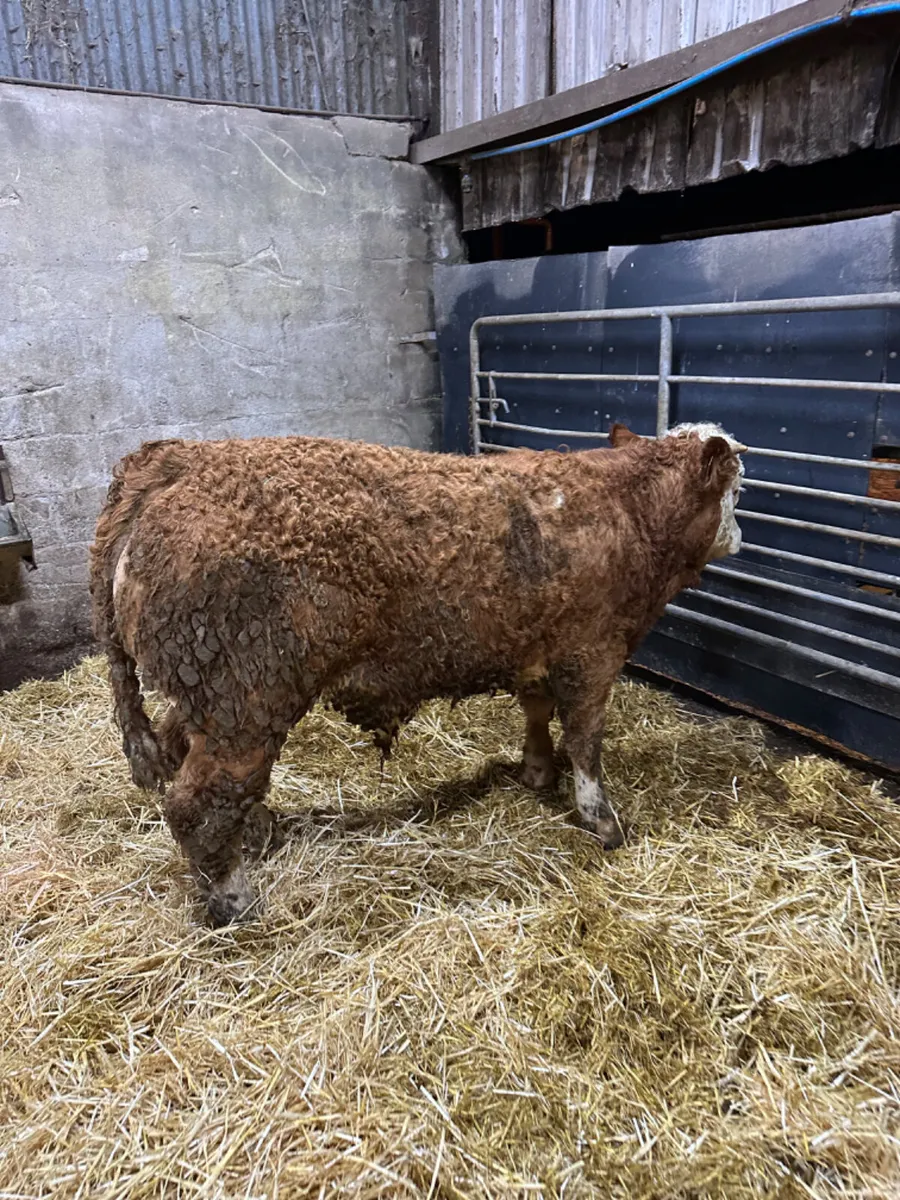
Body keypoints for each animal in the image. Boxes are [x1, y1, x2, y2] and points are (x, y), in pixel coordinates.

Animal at [89, 422, 745, 926]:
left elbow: (536, 711)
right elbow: (585, 739)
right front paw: (602, 821)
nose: (739, 537)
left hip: (205, 693)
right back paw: (236, 901)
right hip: (245, 700)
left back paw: (257, 835)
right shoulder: (592, 650)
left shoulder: (534, 644)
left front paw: (536, 772)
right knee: (197, 804)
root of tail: (176, 458)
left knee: (181, 755)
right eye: (737, 486)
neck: (627, 510)